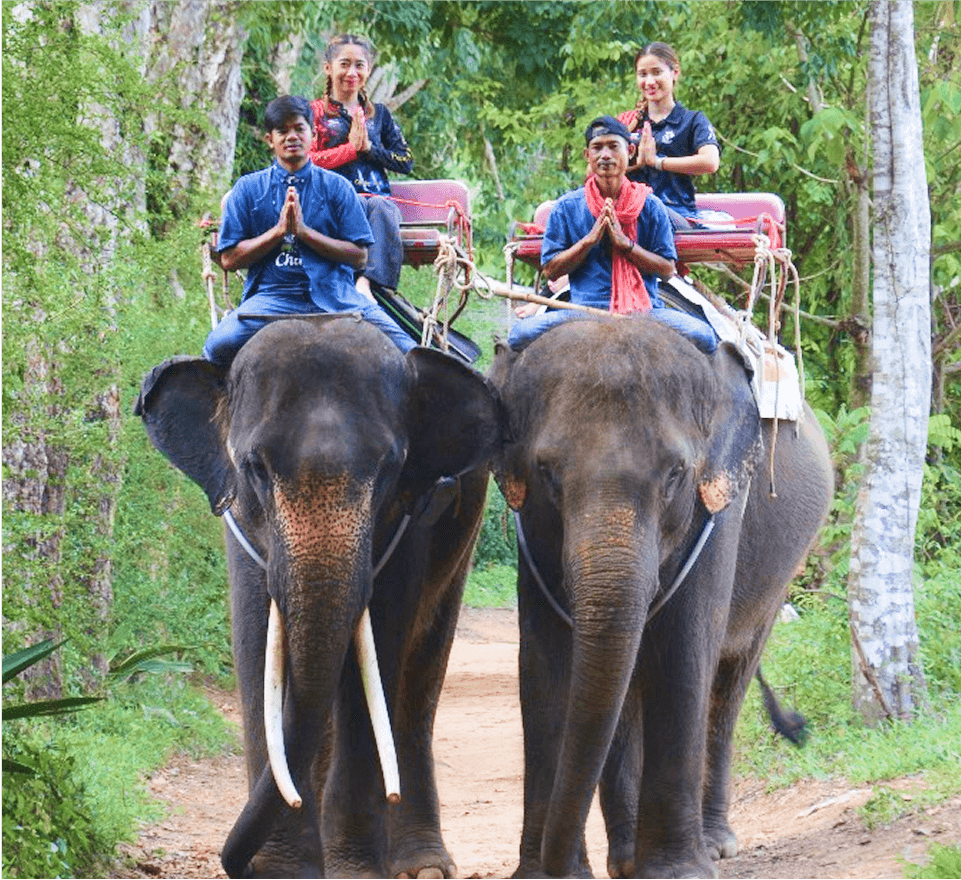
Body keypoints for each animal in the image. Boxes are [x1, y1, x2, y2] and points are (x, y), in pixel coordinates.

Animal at [134, 315, 502, 879]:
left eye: (390, 467)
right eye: (255, 467)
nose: (238, 864)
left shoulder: (413, 515)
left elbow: (379, 649)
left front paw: (353, 871)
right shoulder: (239, 519)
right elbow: (257, 642)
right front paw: (283, 871)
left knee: (417, 678)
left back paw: (421, 866)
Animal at [489, 314, 833, 879]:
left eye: (675, 474)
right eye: (547, 473)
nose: (558, 862)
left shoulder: (720, 502)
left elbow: (684, 645)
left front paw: (679, 872)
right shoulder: (531, 528)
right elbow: (543, 658)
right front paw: (542, 875)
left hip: (783, 570)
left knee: (729, 680)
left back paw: (715, 845)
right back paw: (628, 861)